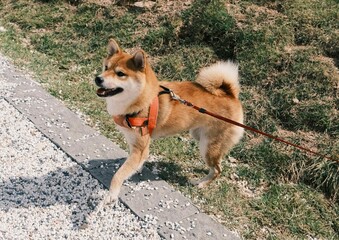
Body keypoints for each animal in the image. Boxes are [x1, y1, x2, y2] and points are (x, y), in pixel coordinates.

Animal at [95, 39, 244, 202]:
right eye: (106, 67)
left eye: (120, 74)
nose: (98, 78)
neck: (141, 101)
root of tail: (231, 95)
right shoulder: (134, 144)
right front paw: (135, 169)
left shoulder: (140, 148)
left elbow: (119, 174)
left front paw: (112, 194)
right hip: (199, 136)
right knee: (217, 164)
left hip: (208, 146)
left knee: (217, 169)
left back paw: (202, 183)